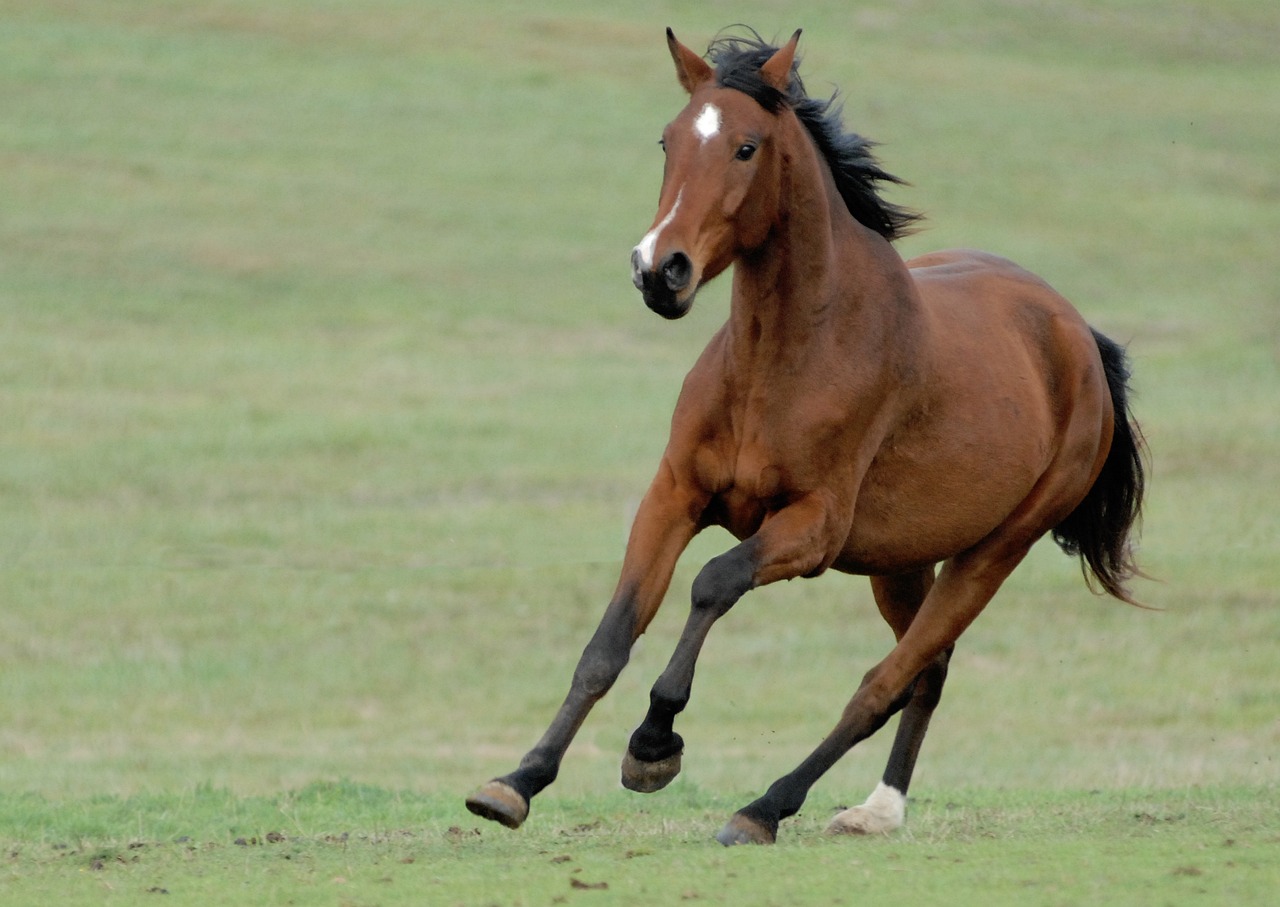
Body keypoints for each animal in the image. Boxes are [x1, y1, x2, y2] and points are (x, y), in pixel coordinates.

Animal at [465, 30, 1146, 849]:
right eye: (667, 140)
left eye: (747, 147)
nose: (659, 271)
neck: (783, 359)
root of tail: (1078, 335)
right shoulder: (673, 496)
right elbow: (609, 641)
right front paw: (517, 782)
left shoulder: (813, 528)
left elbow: (714, 582)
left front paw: (654, 744)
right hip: (902, 561)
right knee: (928, 670)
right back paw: (877, 809)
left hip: (994, 551)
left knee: (885, 682)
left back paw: (765, 807)